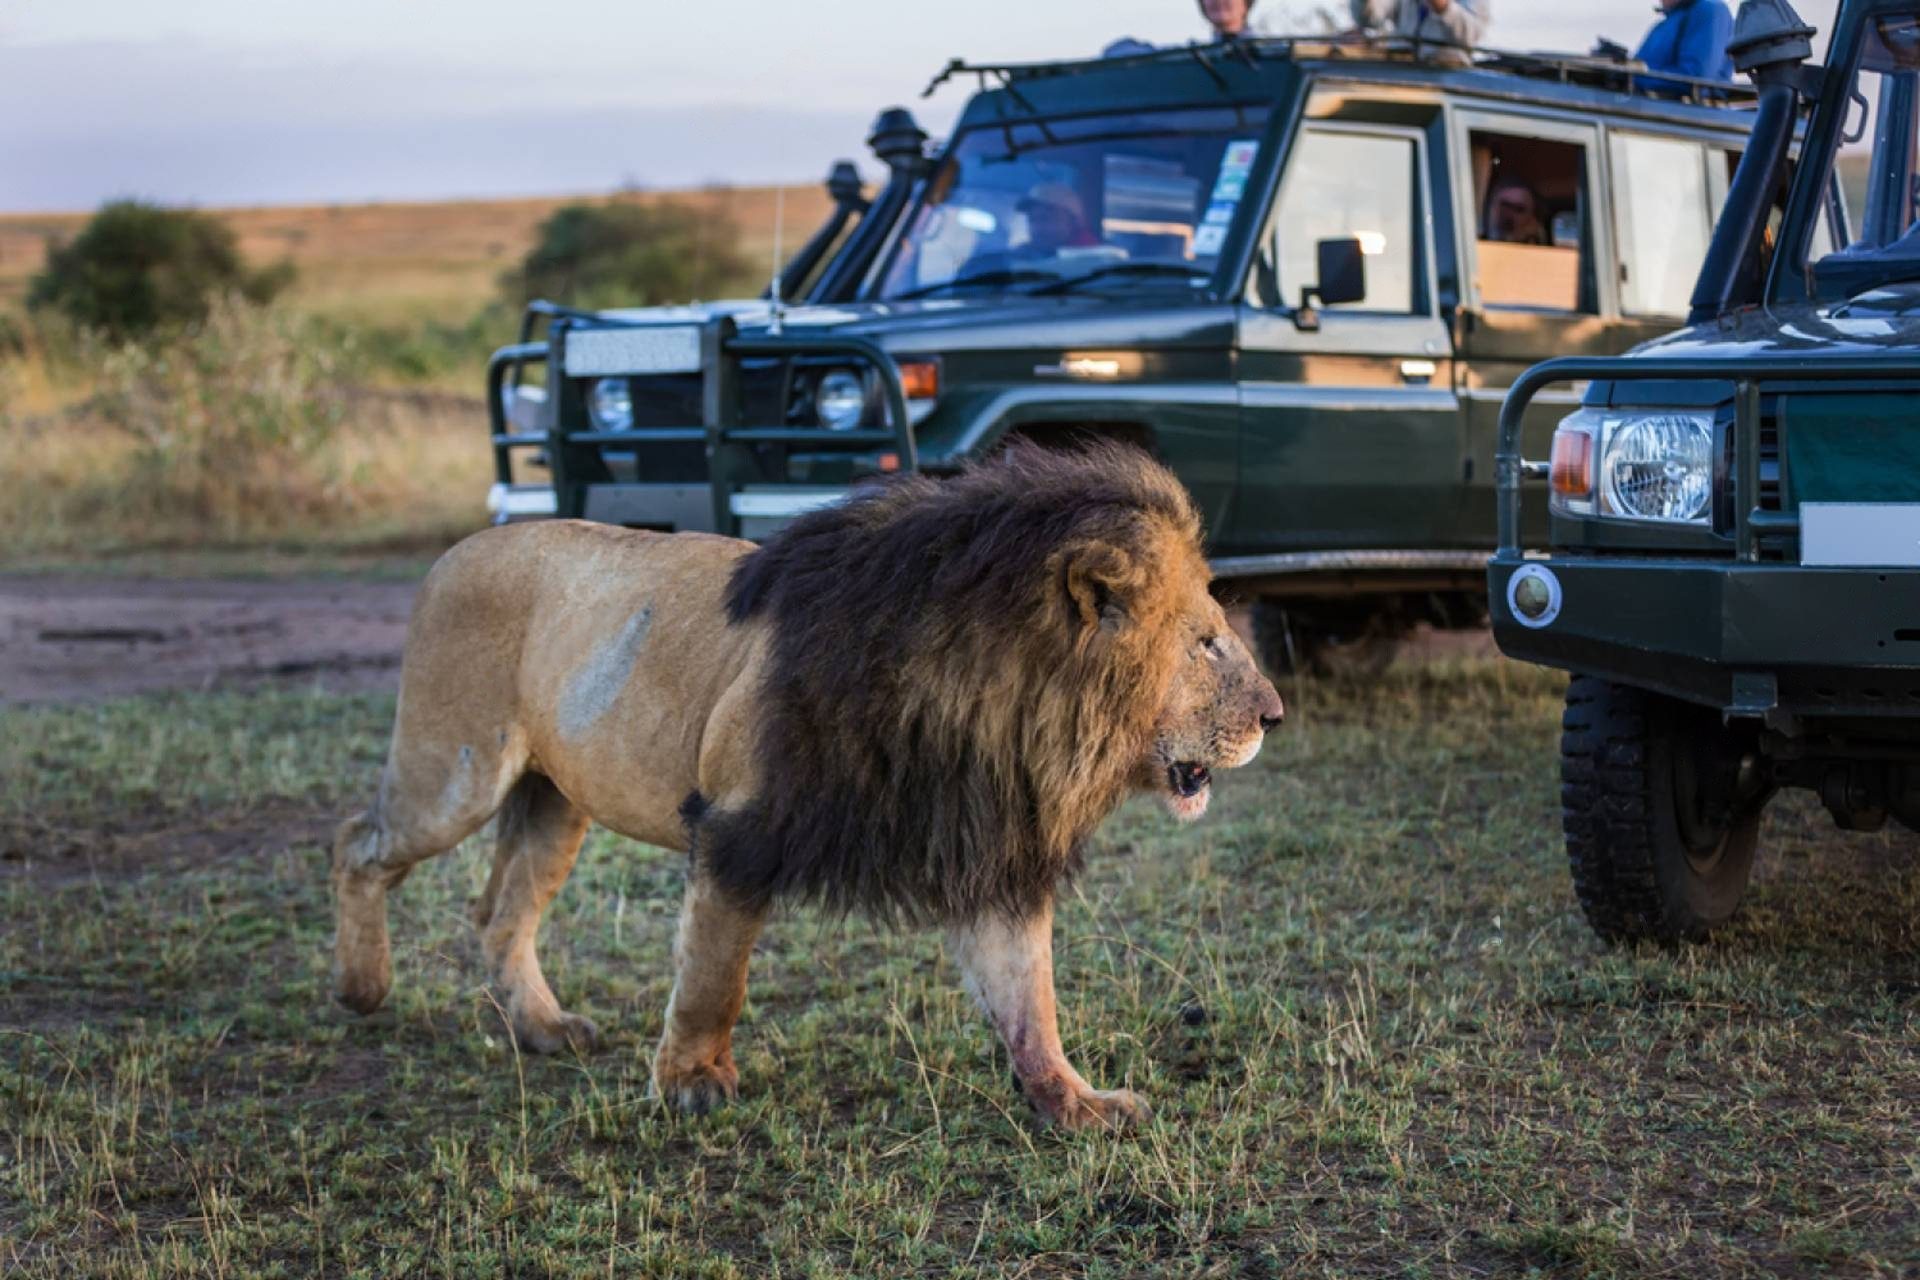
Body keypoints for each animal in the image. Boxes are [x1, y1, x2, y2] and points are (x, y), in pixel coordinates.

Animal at [330, 443, 1282, 1128]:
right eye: (1205, 643)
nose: (1274, 715)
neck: (1000, 707)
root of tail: (458, 548)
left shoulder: (987, 853)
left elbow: (1028, 1000)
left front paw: (1072, 1102)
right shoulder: (737, 829)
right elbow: (714, 977)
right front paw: (690, 1084)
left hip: (554, 800)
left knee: (500, 912)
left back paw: (542, 1029)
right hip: (455, 772)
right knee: (355, 845)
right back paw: (362, 989)